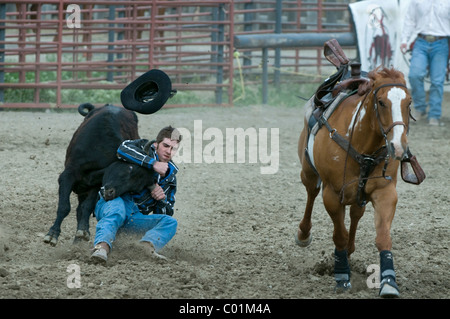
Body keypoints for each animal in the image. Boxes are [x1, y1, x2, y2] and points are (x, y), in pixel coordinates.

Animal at [298, 66, 414, 298]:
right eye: (381, 102)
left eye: (409, 102)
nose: (398, 147)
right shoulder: (332, 194)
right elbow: (339, 236)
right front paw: (342, 277)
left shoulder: (385, 192)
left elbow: (382, 237)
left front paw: (389, 282)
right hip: (308, 172)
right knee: (311, 194)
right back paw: (304, 234)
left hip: (357, 195)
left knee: (354, 215)